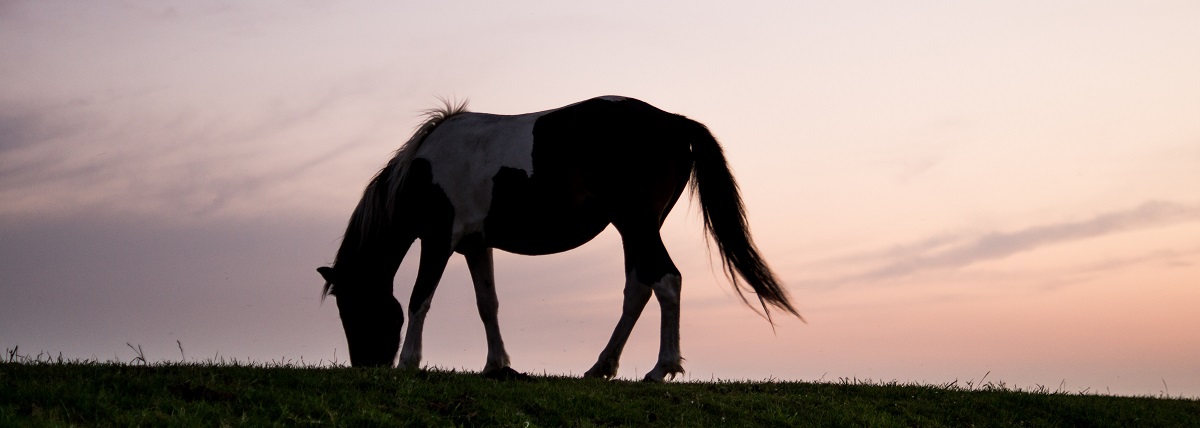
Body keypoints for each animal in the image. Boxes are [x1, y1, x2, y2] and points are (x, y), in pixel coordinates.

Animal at [321, 94, 796, 381]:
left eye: (353, 308)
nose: (366, 366)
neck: (423, 169)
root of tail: (674, 123)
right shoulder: (475, 244)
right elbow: (487, 304)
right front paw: (498, 365)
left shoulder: (438, 240)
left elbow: (420, 298)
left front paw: (409, 362)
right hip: (634, 229)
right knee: (639, 288)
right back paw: (602, 366)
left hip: (638, 224)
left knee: (666, 281)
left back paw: (661, 369)